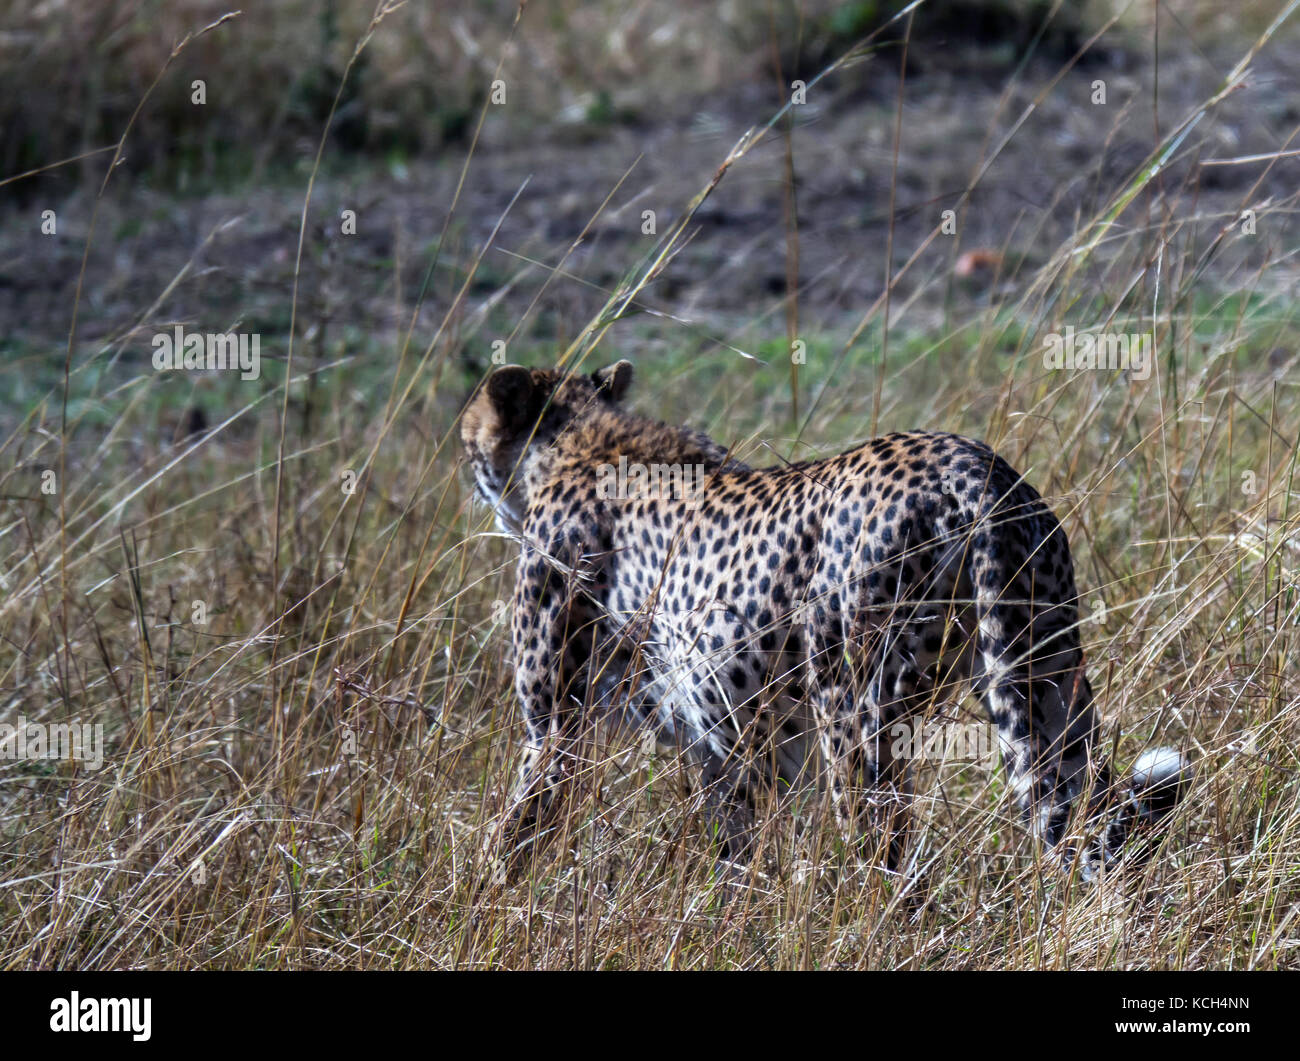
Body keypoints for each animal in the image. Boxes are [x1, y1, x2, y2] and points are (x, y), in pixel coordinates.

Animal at [460, 361, 1190, 884]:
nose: (466, 457)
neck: (583, 446)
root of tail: (971, 464)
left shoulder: (557, 726)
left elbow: (518, 828)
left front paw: (481, 903)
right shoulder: (723, 742)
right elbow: (737, 854)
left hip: (855, 706)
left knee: (885, 858)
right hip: (1044, 674)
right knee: (1089, 818)